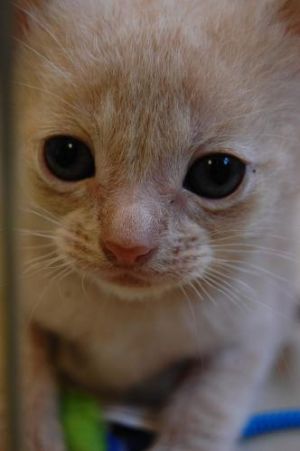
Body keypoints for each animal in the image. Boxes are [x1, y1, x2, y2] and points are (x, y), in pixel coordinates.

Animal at [4, 0, 300, 451]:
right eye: (65, 155)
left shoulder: (249, 335)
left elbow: (202, 418)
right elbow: (25, 391)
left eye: (218, 173)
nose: (127, 245)